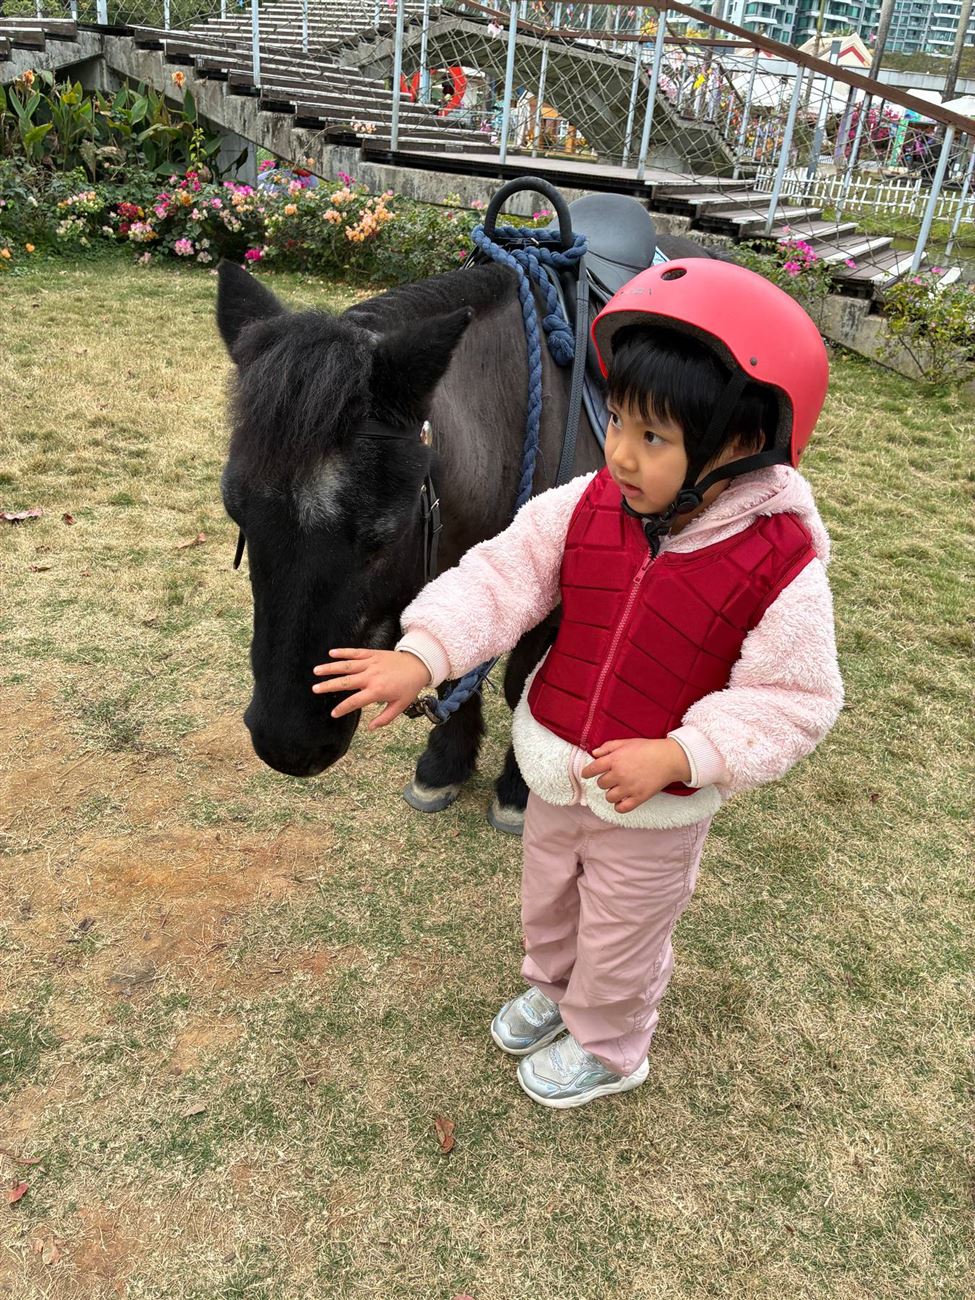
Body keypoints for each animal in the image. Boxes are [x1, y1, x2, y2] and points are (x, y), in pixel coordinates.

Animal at [216, 195, 721, 833]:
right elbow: (458, 660)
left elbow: (525, 682)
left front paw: (519, 789)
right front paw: (443, 766)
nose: (287, 743)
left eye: (383, 538)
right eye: (240, 518)